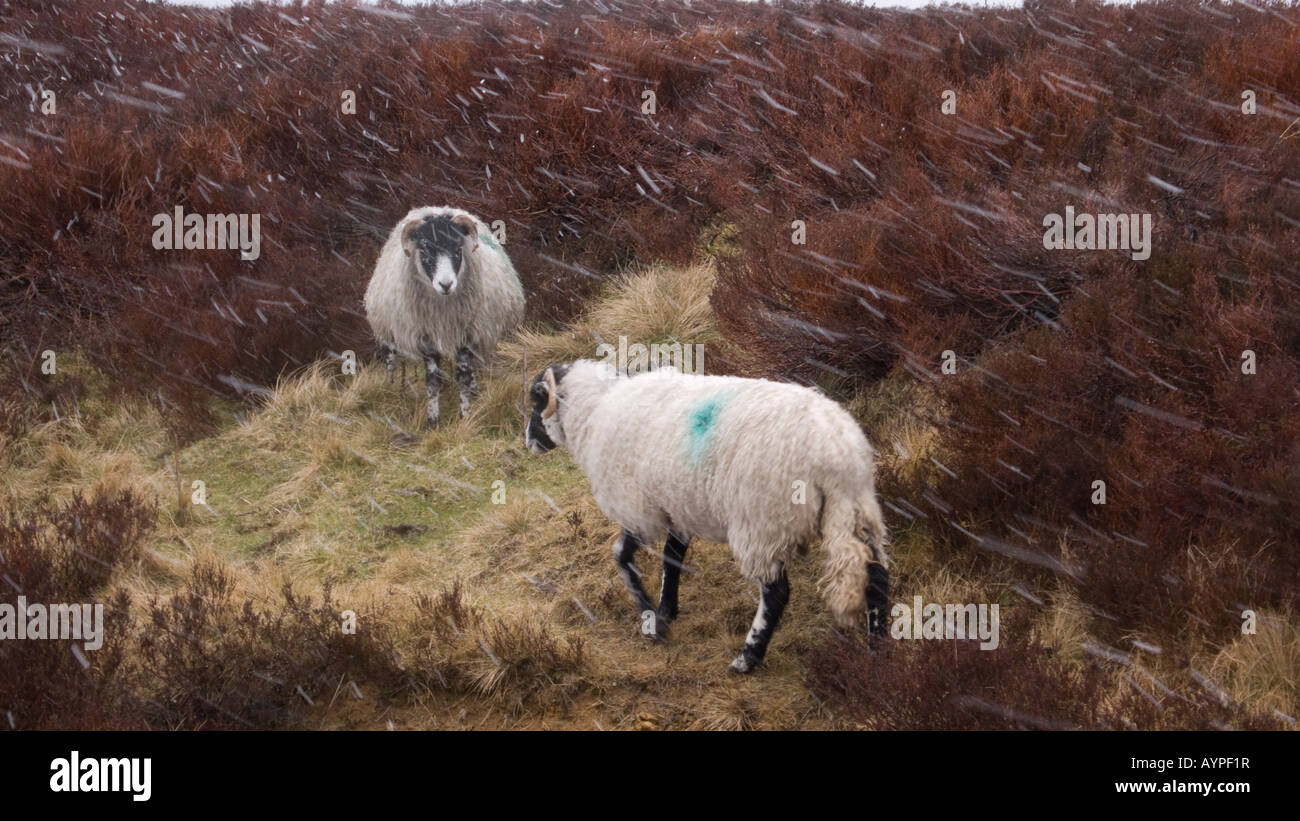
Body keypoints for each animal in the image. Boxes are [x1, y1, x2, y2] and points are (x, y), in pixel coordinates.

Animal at [364, 206, 525, 427]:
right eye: (424, 250)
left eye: (458, 249)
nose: (446, 284)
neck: (443, 311)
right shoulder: (426, 340)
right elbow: (433, 382)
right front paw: (433, 421)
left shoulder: (466, 335)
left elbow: (463, 377)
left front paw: (466, 416)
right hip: (385, 330)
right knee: (390, 362)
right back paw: (392, 390)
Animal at [524, 359, 889, 673]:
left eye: (534, 402)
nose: (528, 440)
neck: (594, 411)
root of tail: (835, 452)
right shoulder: (675, 507)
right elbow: (671, 558)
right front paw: (666, 610)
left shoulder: (639, 509)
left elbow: (621, 555)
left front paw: (651, 620)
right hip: (858, 509)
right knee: (877, 574)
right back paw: (879, 653)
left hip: (761, 522)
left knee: (776, 592)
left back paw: (748, 658)